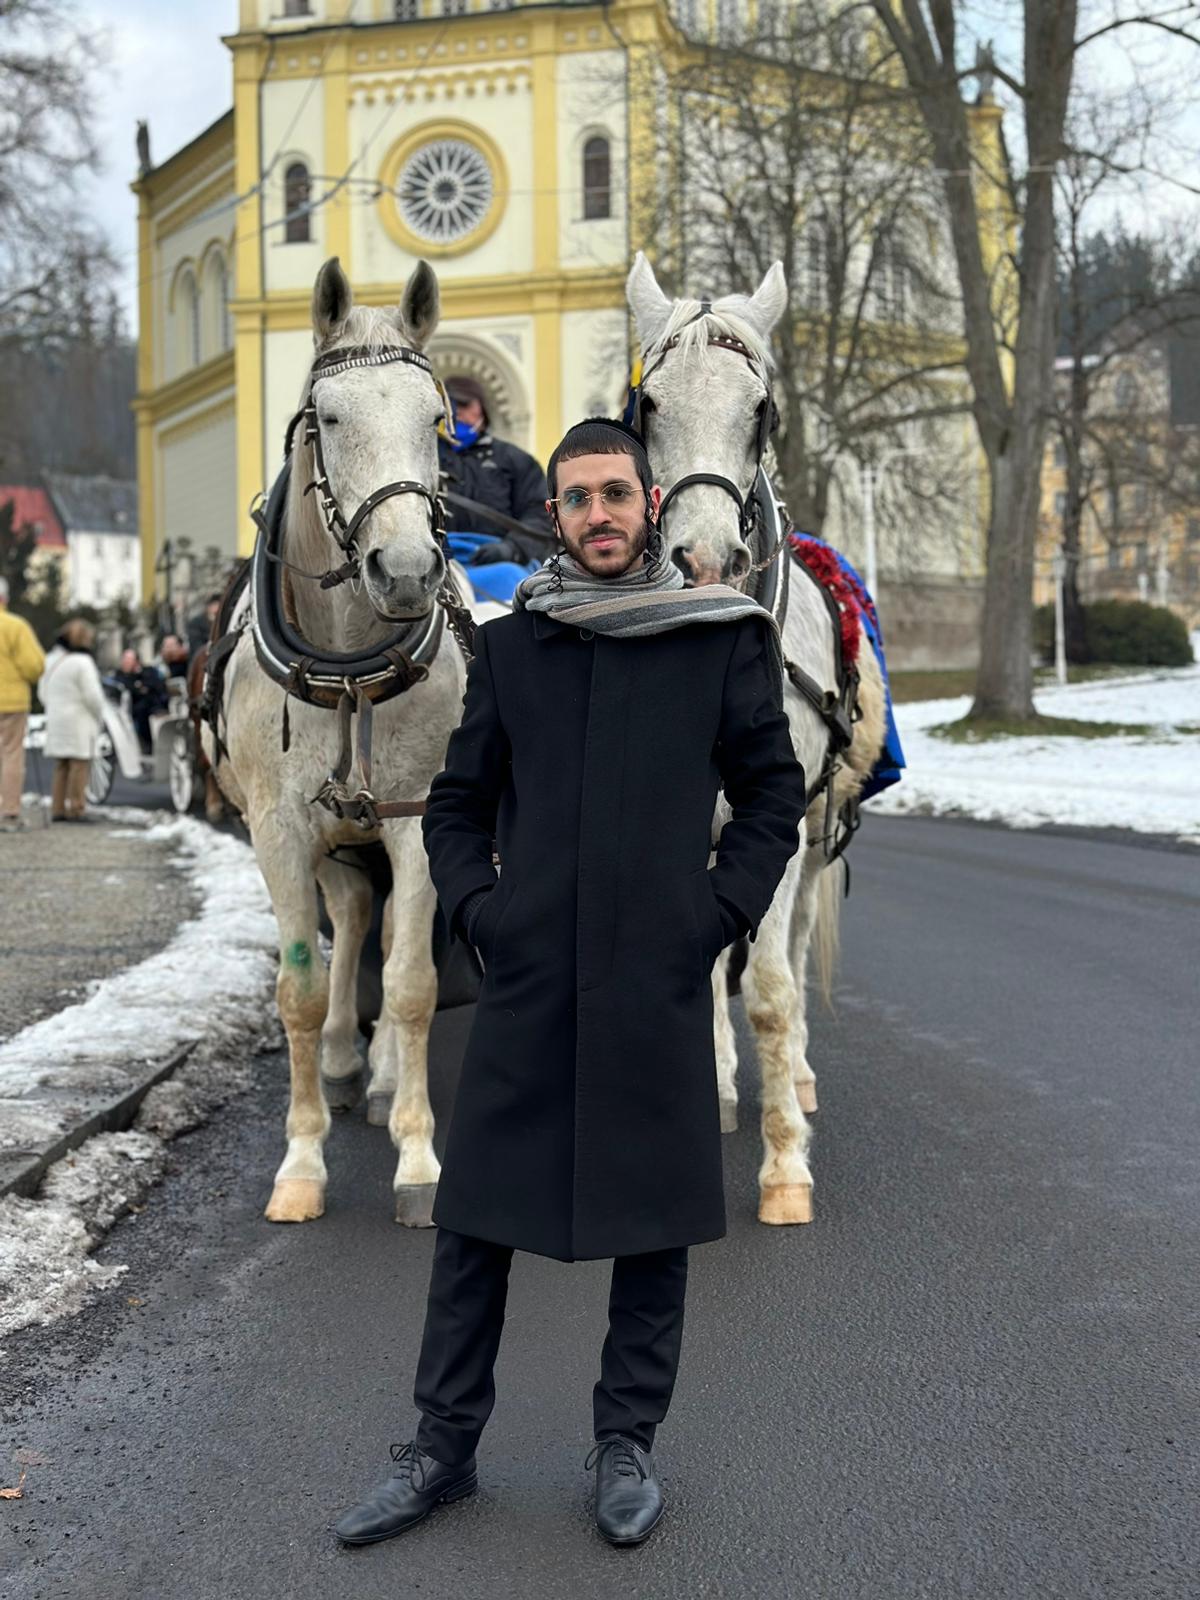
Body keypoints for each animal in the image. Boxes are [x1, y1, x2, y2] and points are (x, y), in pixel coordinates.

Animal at [209, 256, 486, 1222]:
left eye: (434, 419)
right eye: (327, 418)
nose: (404, 573)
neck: (348, 670)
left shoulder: (418, 819)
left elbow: (410, 981)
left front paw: (419, 1158)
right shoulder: (280, 829)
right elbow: (295, 987)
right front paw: (301, 1163)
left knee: (387, 925)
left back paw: (382, 1077)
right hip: (334, 833)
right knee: (355, 914)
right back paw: (338, 1061)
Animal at [624, 252, 889, 1222]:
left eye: (761, 409)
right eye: (648, 406)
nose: (704, 561)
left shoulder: (771, 825)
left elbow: (771, 990)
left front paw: (784, 1167)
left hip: (815, 833)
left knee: (799, 931)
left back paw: (794, 1081)